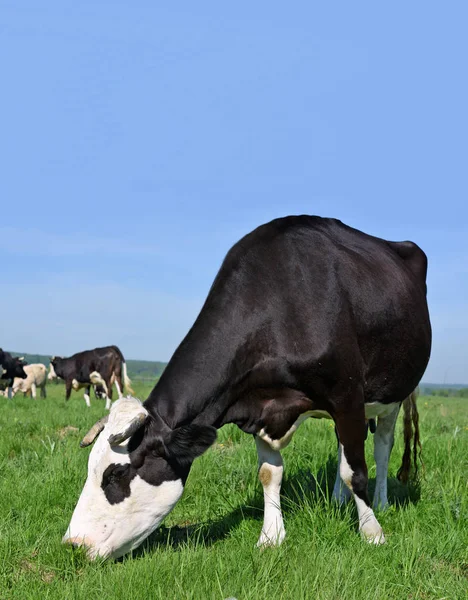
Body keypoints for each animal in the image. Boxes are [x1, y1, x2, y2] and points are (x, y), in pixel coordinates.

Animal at [63, 217, 432, 564]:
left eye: (117, 474)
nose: (74, 545)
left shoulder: (347, 396)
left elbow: (357, 471)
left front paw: (372, 533)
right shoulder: (258, 405)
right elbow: (270, 473)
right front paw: (270, 537)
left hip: (393, 395)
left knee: (382, 447)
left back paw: (380, 503)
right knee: (344, 445)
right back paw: (337, 500)